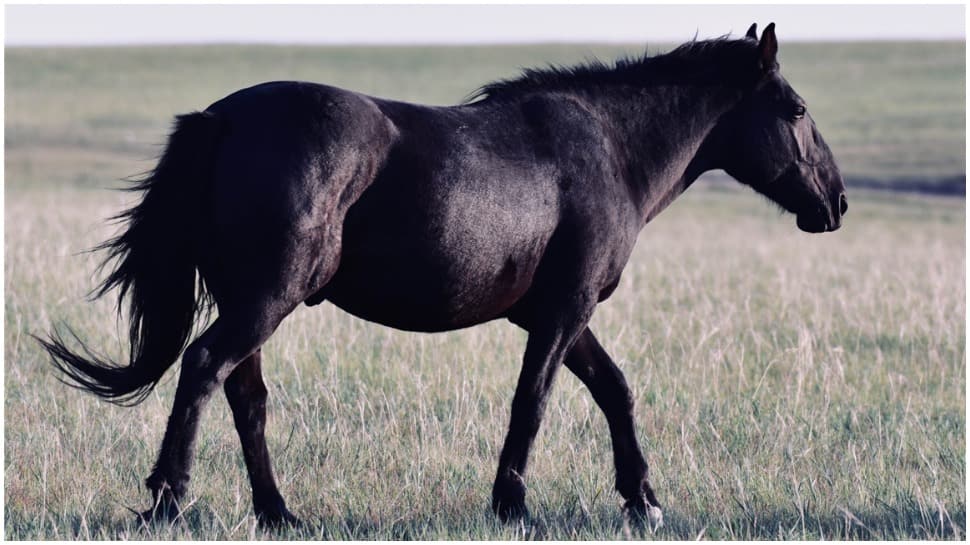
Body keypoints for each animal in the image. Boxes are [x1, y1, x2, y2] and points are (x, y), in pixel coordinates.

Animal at [39, 23, 840, 528]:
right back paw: (168, 501)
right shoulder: (565, 310)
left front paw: (641, 498)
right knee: (205, 368)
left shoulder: (557, 313)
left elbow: (615, 391)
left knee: (245, 396)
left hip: (252, 302)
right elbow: (533, 402)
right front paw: (512, 505)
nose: (835, 202)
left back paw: (278, 512)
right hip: (266, 298)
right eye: (797, 109)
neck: (609, 149)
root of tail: (222, 119)